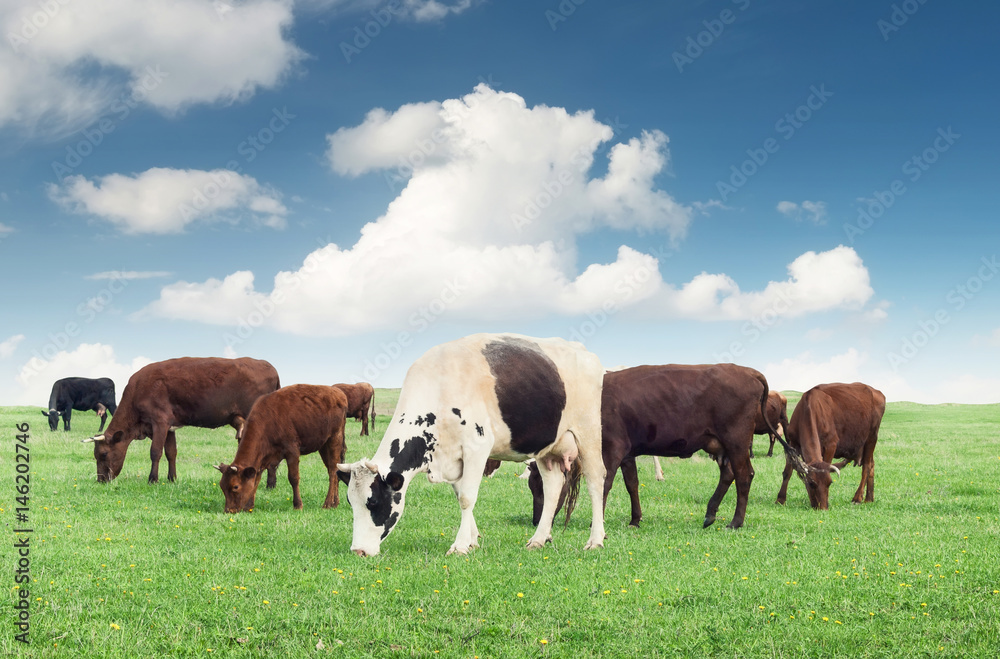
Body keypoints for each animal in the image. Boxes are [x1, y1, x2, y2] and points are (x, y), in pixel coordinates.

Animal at [79, 356, 278, 484]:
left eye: (103, 454)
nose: (101, 480)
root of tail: (267, 365)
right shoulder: (169, 427)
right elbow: (171, 452)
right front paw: (172, 478)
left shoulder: (160, 421)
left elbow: (155, 452)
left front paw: (153, 479)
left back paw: (269, 484)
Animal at [217, 384, 350, 512]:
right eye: (222, 486)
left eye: (235, 487)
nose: (229, 510)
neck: (268, 421)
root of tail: (338, 393)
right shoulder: (263, 458)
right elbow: (256, 479)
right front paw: (249, 506)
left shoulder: (292, 451)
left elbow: (293, 478)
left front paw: (298, 505)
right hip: (323, 444)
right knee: (333, 469)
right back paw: (335, 503)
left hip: (335, 438)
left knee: (333, 470)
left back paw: (327, 503)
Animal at [336, 336, 604, 556]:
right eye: (350, 502)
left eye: (373, 502)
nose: (358, 551)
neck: (439, 387)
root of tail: (583, 352)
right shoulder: (453, 458)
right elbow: (459, 495)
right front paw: (473, 539)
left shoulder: (477, 447)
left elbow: (467, 497)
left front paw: (460, 545)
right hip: (547, 447)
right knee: (553, 486)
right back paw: (538, 539)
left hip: (588, 433)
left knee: (595, 481)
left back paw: (595, 540)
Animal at [556, 366, 804, 532]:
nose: (542, 519)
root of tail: (749, 372)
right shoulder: (626, 453)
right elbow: (632, 484)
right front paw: (635, 519)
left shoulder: (612, 449)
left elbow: (604, 484)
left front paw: (596, 523)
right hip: (723, 446)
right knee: (728, 475)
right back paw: (710, 514)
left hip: (737, 442)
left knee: (744, 475)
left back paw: (735, 522)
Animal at [772, 382, 884, 510]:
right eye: (812, 484)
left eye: (829, 483)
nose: (823, 508)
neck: (809, 408)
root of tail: (876, 392)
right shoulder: (792, 444)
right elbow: (787, 472)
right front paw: (780, 499)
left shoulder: (831, 444)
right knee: (871, 464)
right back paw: (869, 498)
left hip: (872, 437)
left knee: (866, 466)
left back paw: (858, 498)